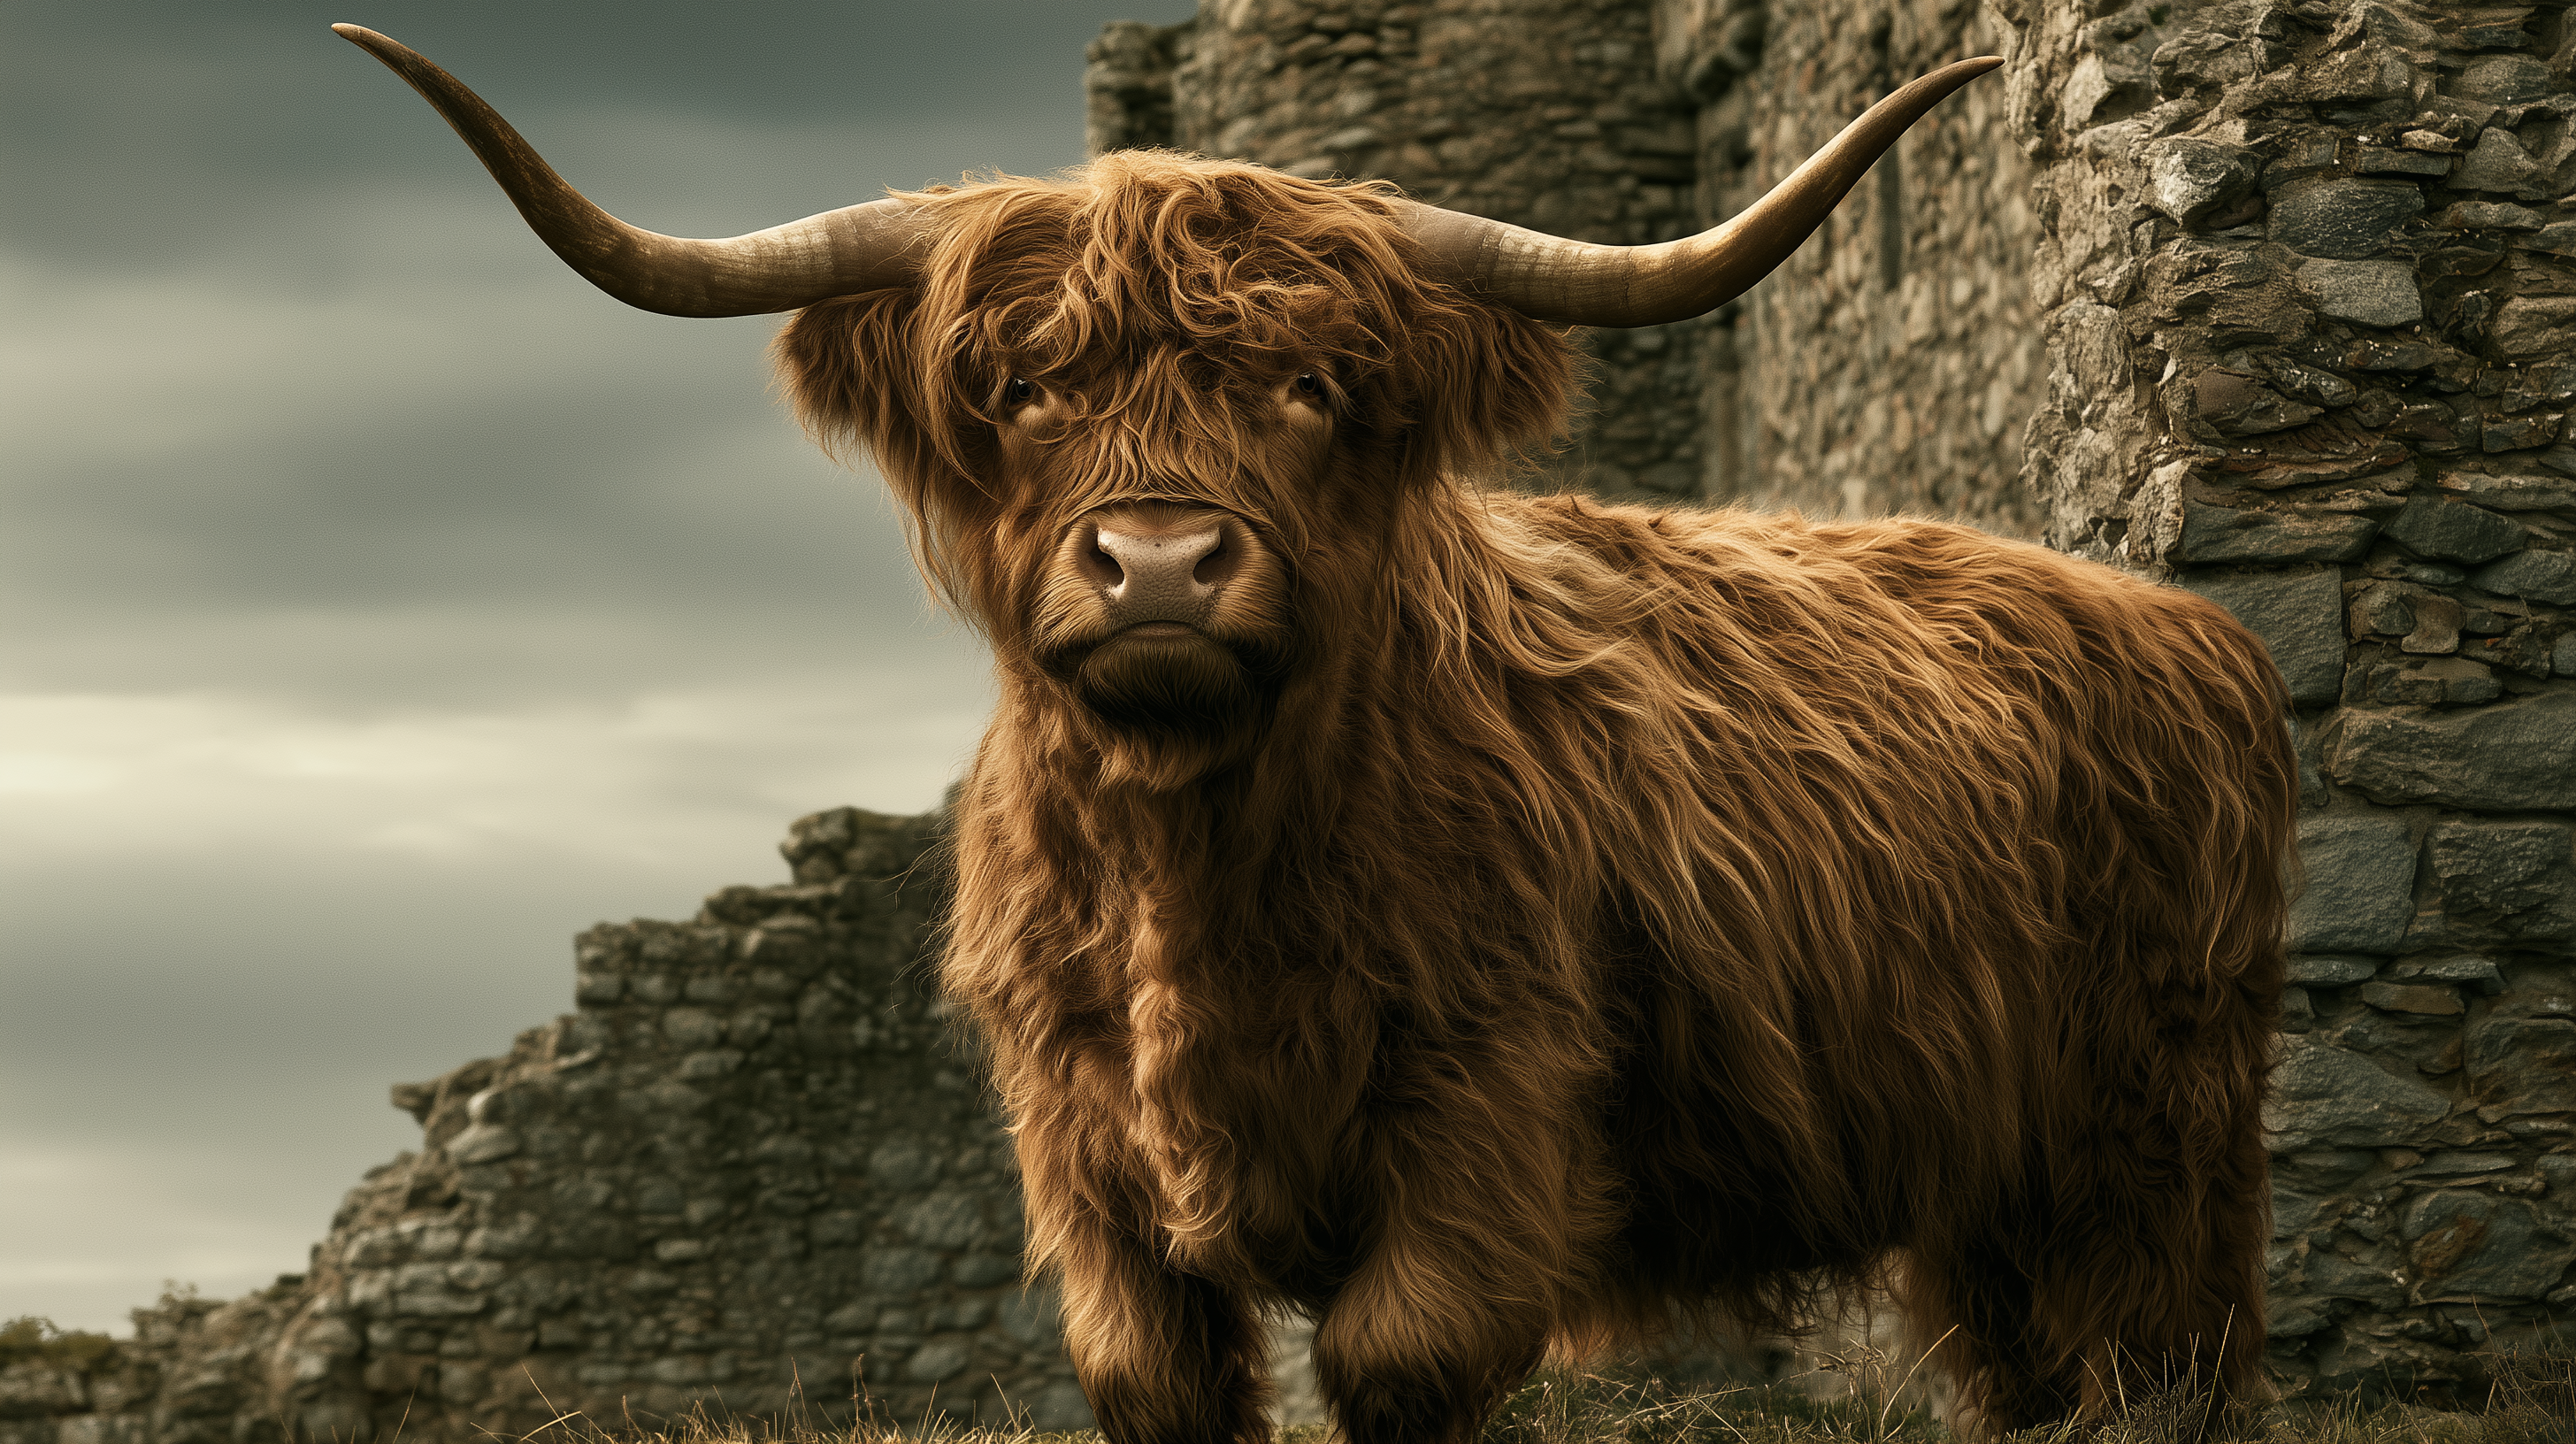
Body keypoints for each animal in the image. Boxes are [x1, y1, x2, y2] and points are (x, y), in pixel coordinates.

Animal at [338, 25, 2297, 1444]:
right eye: (1024, 388)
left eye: (1309, 388)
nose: (1157, 565)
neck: (1196, 871)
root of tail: (2174, 621)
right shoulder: (1088, 1161)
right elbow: (1156, 1382)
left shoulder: (1482, 1110)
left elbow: (1397, 1363)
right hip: (1994, 1178)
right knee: (2027, 1371)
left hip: (2159, 1126)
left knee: (2169, 1359)